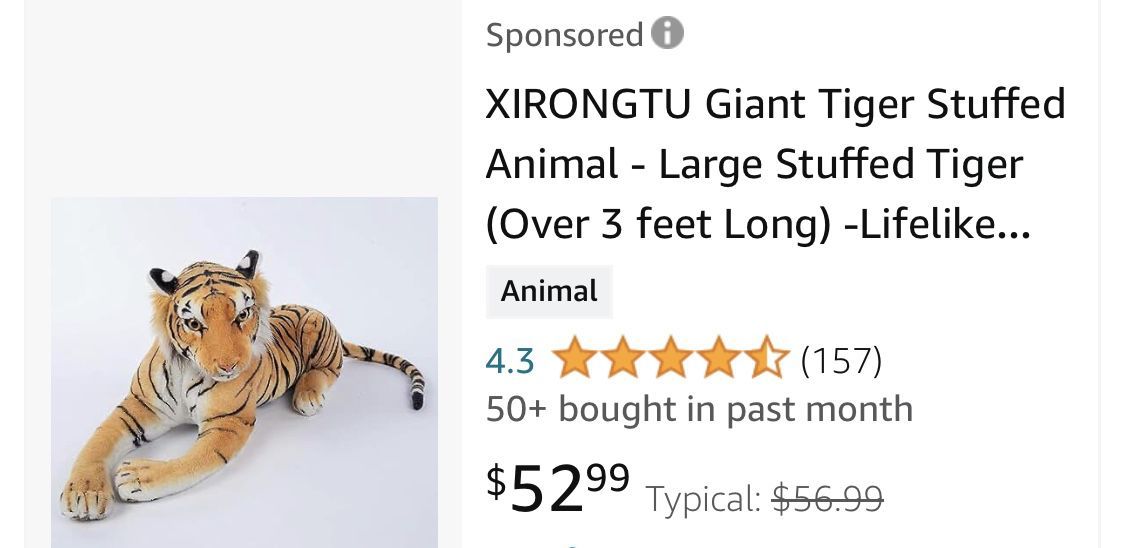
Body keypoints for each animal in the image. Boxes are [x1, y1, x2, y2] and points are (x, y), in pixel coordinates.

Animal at [59, 250, 425, 520]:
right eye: (194, 323)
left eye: (242, 315)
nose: (229, 366)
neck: (186, 369)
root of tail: (309, 306)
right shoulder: (139, 406)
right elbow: (99, 439)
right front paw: (85, 491)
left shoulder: (228, 423)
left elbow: (194, 461)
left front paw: (137, 476)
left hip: (317, 331)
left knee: (330, 369)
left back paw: (307, 395)